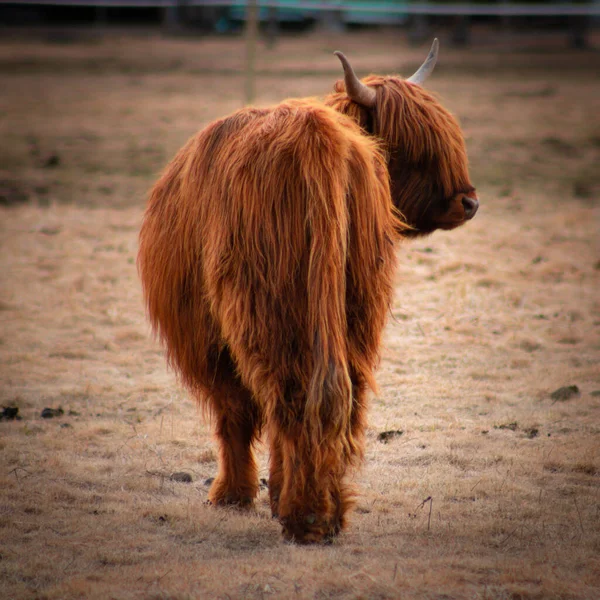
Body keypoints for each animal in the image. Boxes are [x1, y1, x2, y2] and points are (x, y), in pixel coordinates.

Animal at [139, 41, 478, 544]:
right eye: (413, 145)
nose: (469, 201)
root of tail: (317, 140)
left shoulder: (208, 337)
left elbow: (233, 414)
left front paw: (235, 496)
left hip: (267, 305)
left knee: (289, 395)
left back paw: (306, 517)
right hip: (353, 304)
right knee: (341, 394)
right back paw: (327, 512)